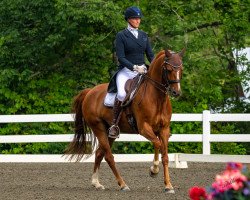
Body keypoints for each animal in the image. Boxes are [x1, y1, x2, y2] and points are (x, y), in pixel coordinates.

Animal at [65, 48, 185, 192]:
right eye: (168, 69)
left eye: (181, 69)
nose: (176, 93)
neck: (157, 99)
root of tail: (89, 92)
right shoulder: (144, 128)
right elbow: (157, 144)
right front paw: (153, 170)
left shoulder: (164, 130)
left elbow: (165, 155)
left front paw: (168, 186)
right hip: (98, 128)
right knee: (108, 156)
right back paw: (123, 184)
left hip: (109, 131)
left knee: (100, 153)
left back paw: (96, 183)